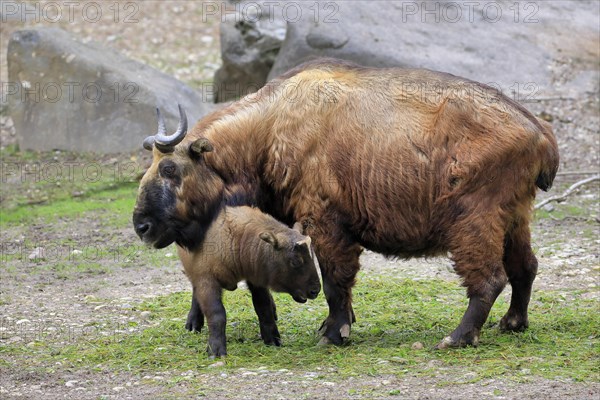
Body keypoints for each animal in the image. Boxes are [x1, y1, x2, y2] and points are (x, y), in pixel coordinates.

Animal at [176, 206, 322, 356]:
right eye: (295, 261)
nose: (315, 290)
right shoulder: (206, 279)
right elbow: (217, 314)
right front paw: (215, 349)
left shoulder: (256, 279)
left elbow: (263, 307)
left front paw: (273, 339)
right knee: (195, 291)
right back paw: (193, 323)